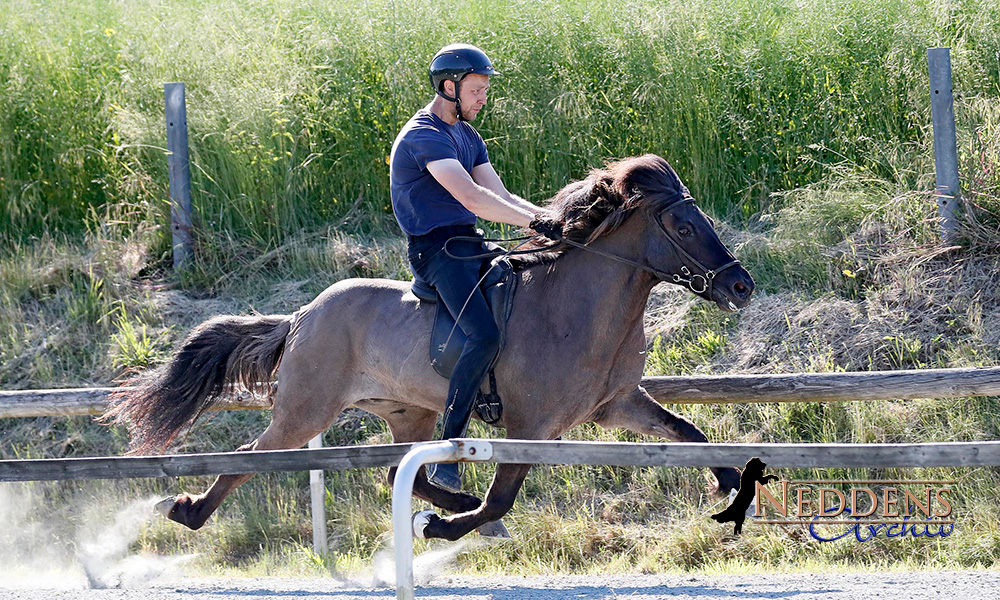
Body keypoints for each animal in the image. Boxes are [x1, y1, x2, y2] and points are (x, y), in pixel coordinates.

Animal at [105, 154, 752, 540]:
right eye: (685, 227)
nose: (740, 285)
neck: (584, 308)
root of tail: (302, 315)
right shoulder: (531, 424)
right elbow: (500, 500)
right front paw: (443, 528)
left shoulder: (616, 405)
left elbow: (690, 433)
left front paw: (730, 485)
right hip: (305, 409)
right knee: (253, 454)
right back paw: (189, 510)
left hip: (406, 412)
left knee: (402, 467)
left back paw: (446, 495)